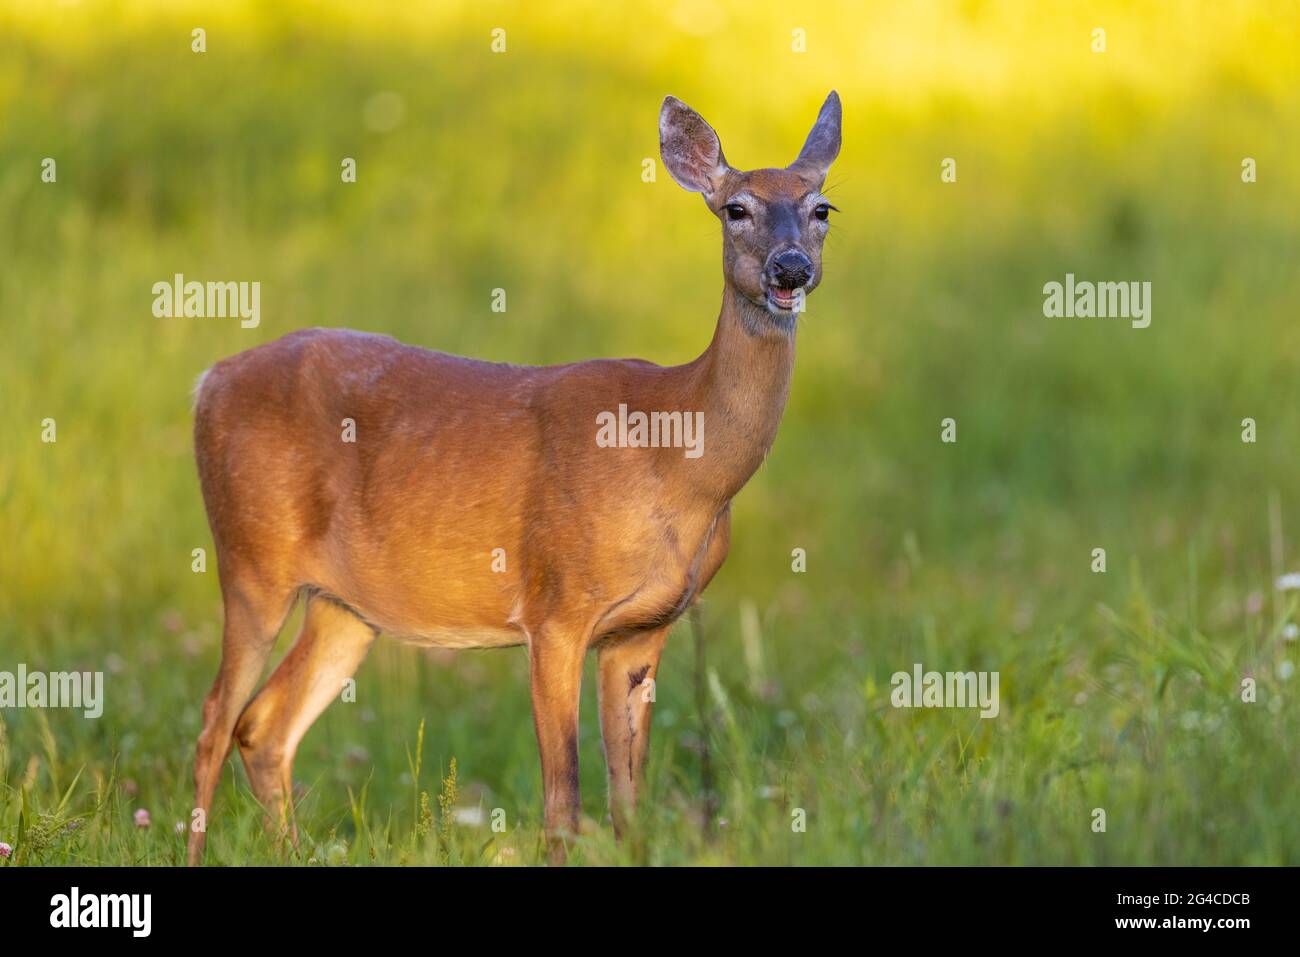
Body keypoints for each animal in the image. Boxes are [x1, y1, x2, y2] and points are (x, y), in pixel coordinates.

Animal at [189, 91, 842, 868]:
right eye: (735, 208)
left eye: (822, 208)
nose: (790, 269)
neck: (677, 457)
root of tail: (207, 381)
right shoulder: (554, 607)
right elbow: (562, 803)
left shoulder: (643, 630)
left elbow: (630, 809)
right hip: (250, 559)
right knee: (212, 722)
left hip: (344, 605)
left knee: (262, 726)